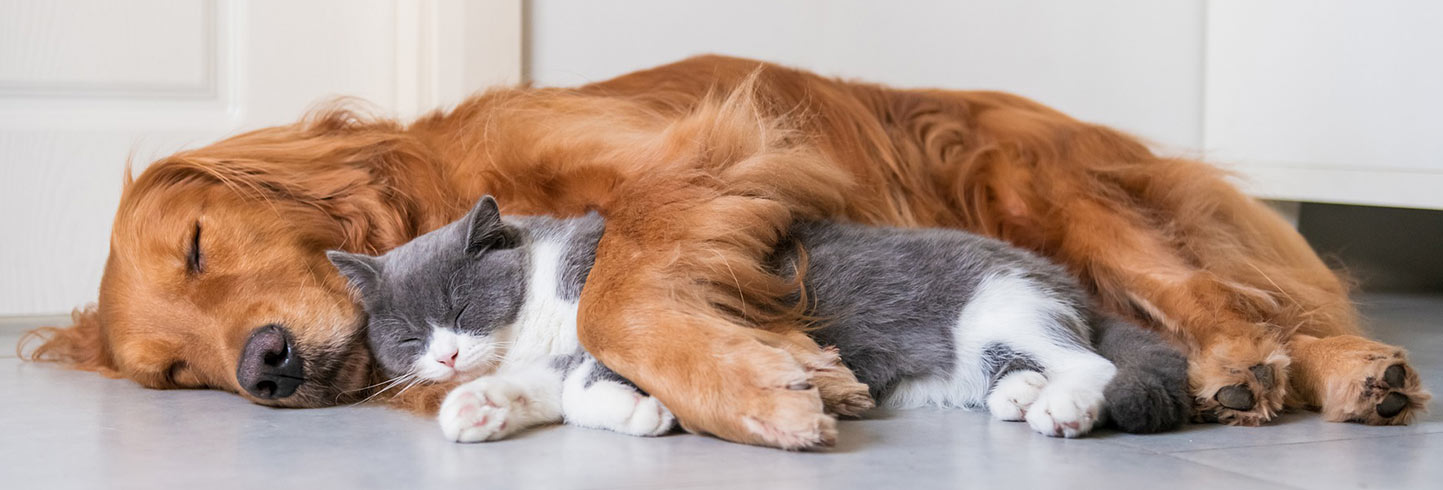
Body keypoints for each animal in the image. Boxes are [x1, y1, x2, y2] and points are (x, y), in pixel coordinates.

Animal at [330, 196, 1183, 443]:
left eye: (459, 307)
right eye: (406, 337)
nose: (444, 358)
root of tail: (1063, 277)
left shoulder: (635, 314)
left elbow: (585, 381)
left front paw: (644, 412)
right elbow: (546, 391)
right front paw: (475, 408)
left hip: (1001, 304)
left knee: (1093, 364)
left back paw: (1063, 407)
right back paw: (1020, 396)